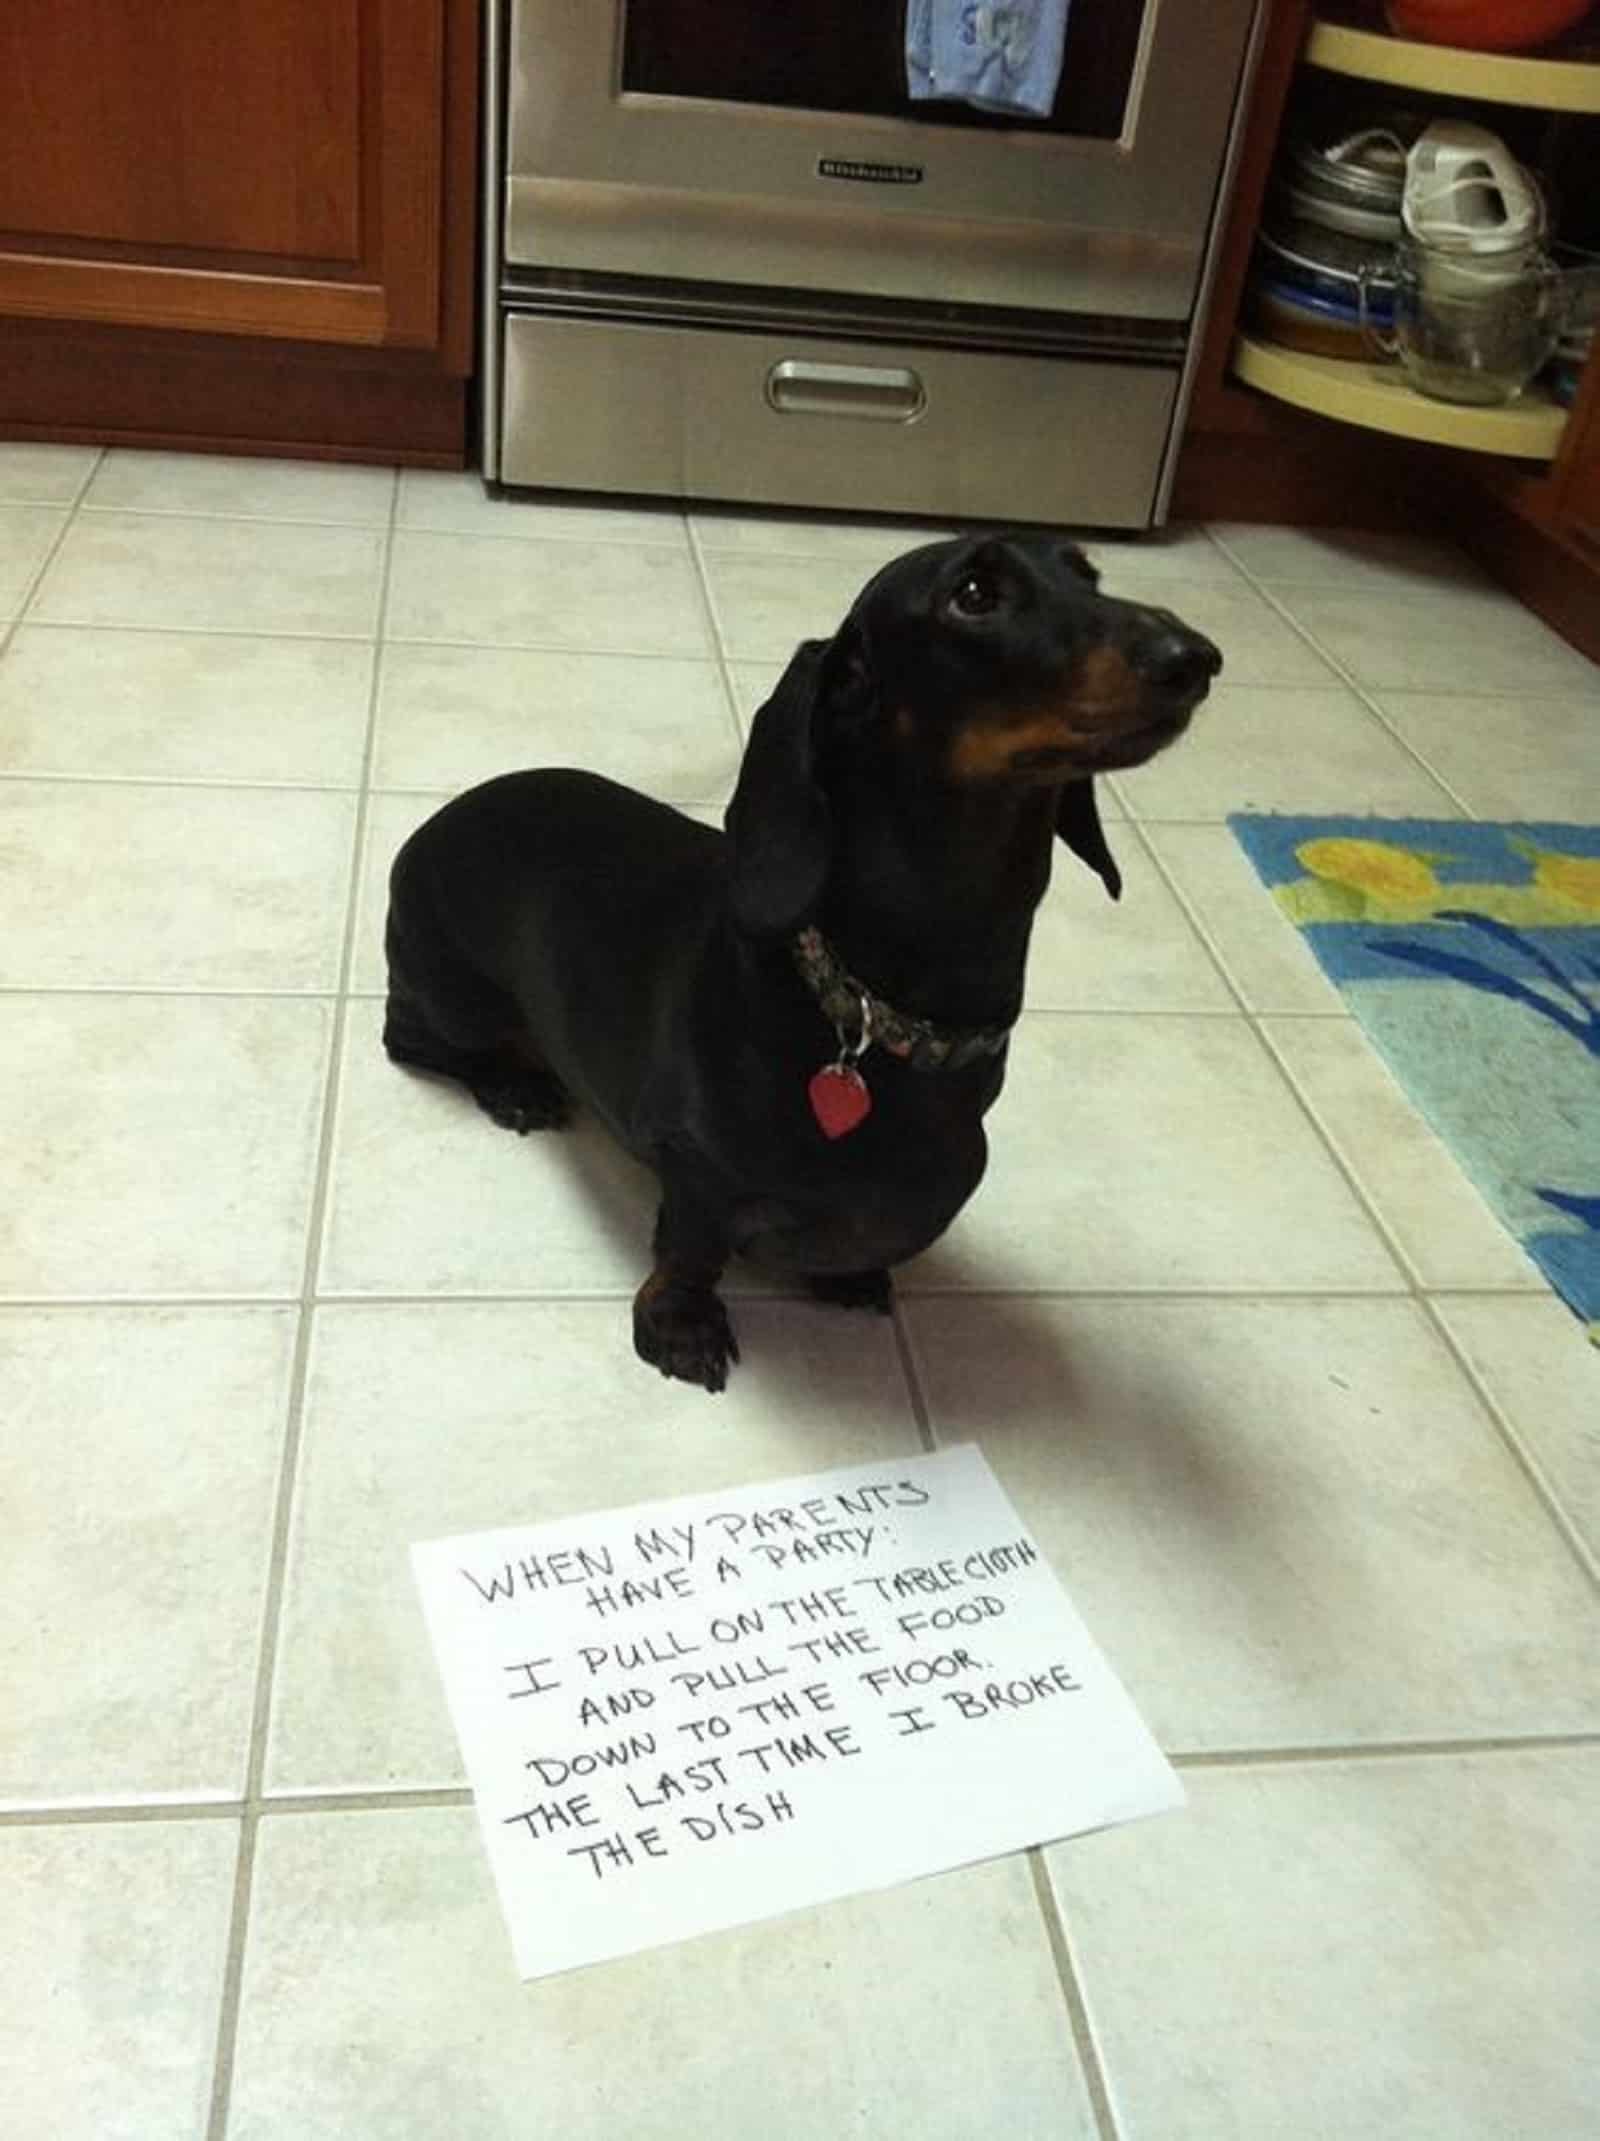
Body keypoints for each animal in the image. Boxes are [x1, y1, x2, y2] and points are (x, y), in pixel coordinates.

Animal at [381, 530, 1216, 1387]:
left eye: (1090, 575)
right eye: (974, 593)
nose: (1198, 658)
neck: (880, 1012)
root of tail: (429, 826)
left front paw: (845, 1274)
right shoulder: (696, 1166)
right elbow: (692, 1247)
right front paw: (680, 1324)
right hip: (453, 995)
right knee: (414, 1039)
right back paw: (512, 1086)